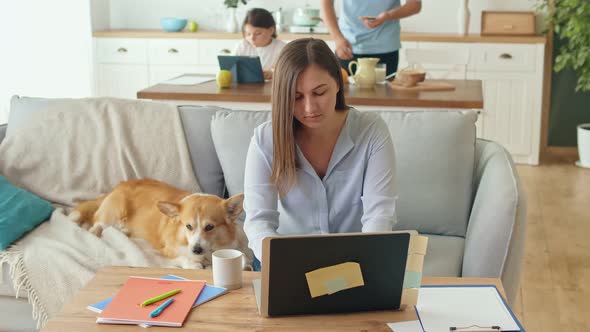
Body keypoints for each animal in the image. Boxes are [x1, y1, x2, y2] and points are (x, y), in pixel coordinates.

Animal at [70, 179, 254, 270]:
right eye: (188, 226)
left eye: (209, 227)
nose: (196, 249)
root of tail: (119, 185)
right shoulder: (169, 250)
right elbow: (186, 259)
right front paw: (194, 263)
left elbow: (245, 256)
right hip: (114, 210)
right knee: (97, 224)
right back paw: (95, 233)